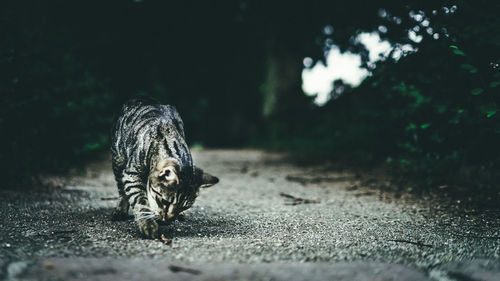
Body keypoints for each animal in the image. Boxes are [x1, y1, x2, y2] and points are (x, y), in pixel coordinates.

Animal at [112, 97, 218, 238]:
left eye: (183, 207)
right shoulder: (131, 173)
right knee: (121, 188)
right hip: (118, 158)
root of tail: (141, 97)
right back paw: (121, 209)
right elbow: (139, 199)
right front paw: (147, 224)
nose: (168, 220)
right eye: (165, 202)